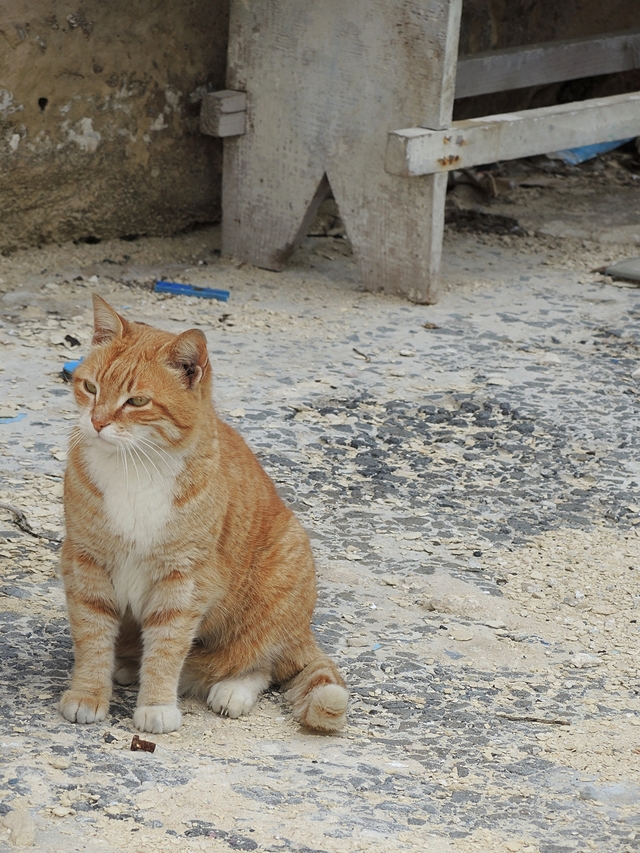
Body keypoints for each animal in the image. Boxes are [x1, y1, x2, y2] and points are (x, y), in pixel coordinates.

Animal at [58, 294, 350, 732]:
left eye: (137, 401)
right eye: (90, 387)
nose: (95, 422)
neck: (133, 467)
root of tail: (304, 630)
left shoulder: (182, 577)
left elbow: (166, 649)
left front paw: (156, 706)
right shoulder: (86, 561)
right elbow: (92, 638)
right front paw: (88, 694)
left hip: (283, 566)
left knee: (260, 660)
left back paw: (232, 689)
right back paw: (125, 666)